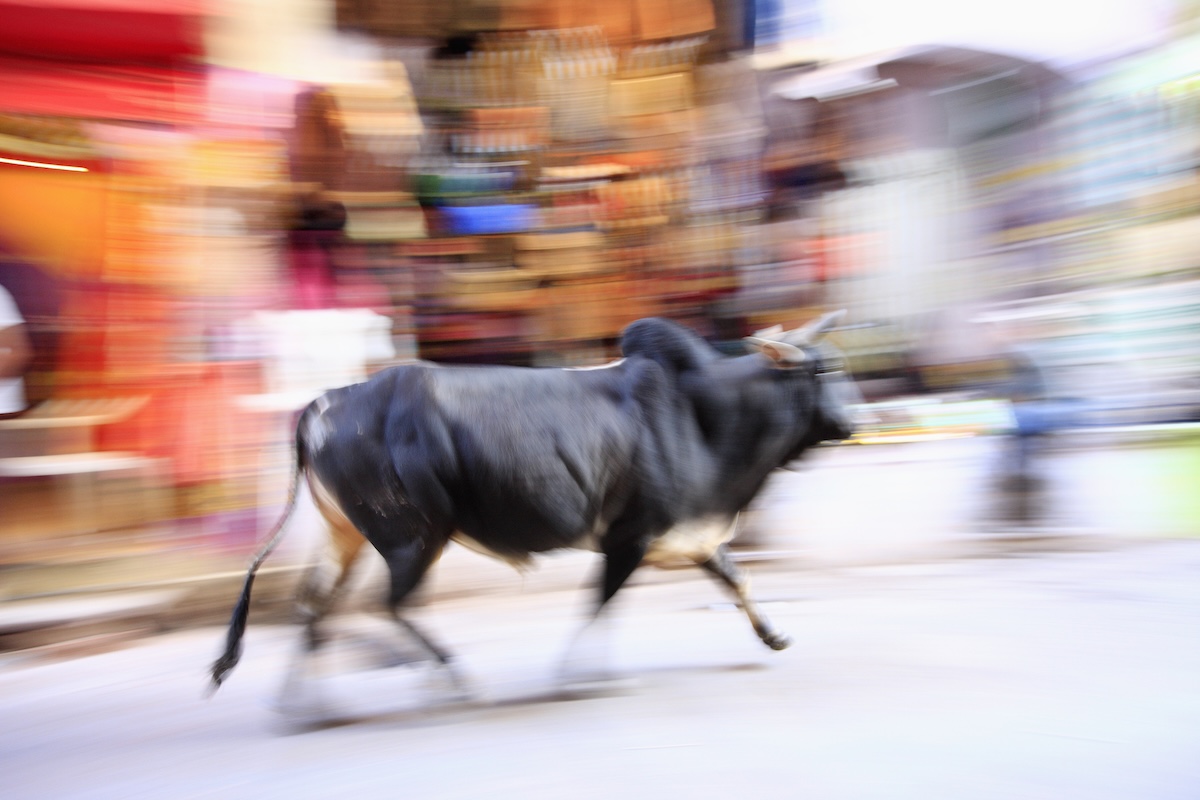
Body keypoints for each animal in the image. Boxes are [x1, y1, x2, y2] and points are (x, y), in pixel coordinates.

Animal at [208, 311, 857, 699]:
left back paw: (307, 706)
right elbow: (598, 607)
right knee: (388, 606)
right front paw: (577, 676)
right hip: (414, 539)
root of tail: (325, 402)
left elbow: (736, 579)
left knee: (314, 605)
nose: (855, 421)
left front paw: (774, 637)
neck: (703, 419)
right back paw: (451, 676)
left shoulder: (689, 538)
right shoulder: (629, 539)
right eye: (821, 371)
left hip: (348, 536)